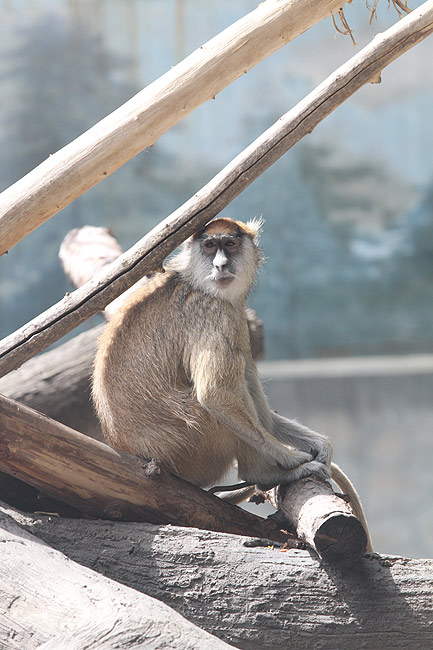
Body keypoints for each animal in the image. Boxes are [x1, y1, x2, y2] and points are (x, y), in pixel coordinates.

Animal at [92, 217, 372, 551]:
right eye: (210, 246)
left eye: (230, 244)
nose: (221, 264)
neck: (194, 280)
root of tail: (131, 451)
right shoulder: (215, 313)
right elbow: (215, 395)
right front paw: (292, 459)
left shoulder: (231, 312)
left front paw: (318, 445)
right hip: (192, 446)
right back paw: (262, 472)